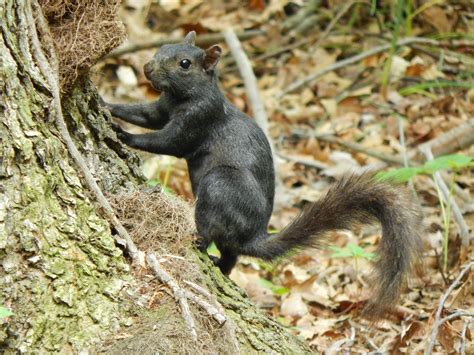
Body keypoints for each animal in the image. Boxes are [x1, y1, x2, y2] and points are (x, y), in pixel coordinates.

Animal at [103, 32, 422, 318]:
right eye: (162, 47)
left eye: (184, 64)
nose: (147, 68)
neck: (181, 97)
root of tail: (254, 235)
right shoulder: (161, 108)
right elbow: (143, 114)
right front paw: (107, 105)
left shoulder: (199, 119)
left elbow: (166, 142)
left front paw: (124, 135)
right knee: (231, 256)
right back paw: (220, 265)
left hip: (222, 184)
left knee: (212, 232)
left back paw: (199, 241)